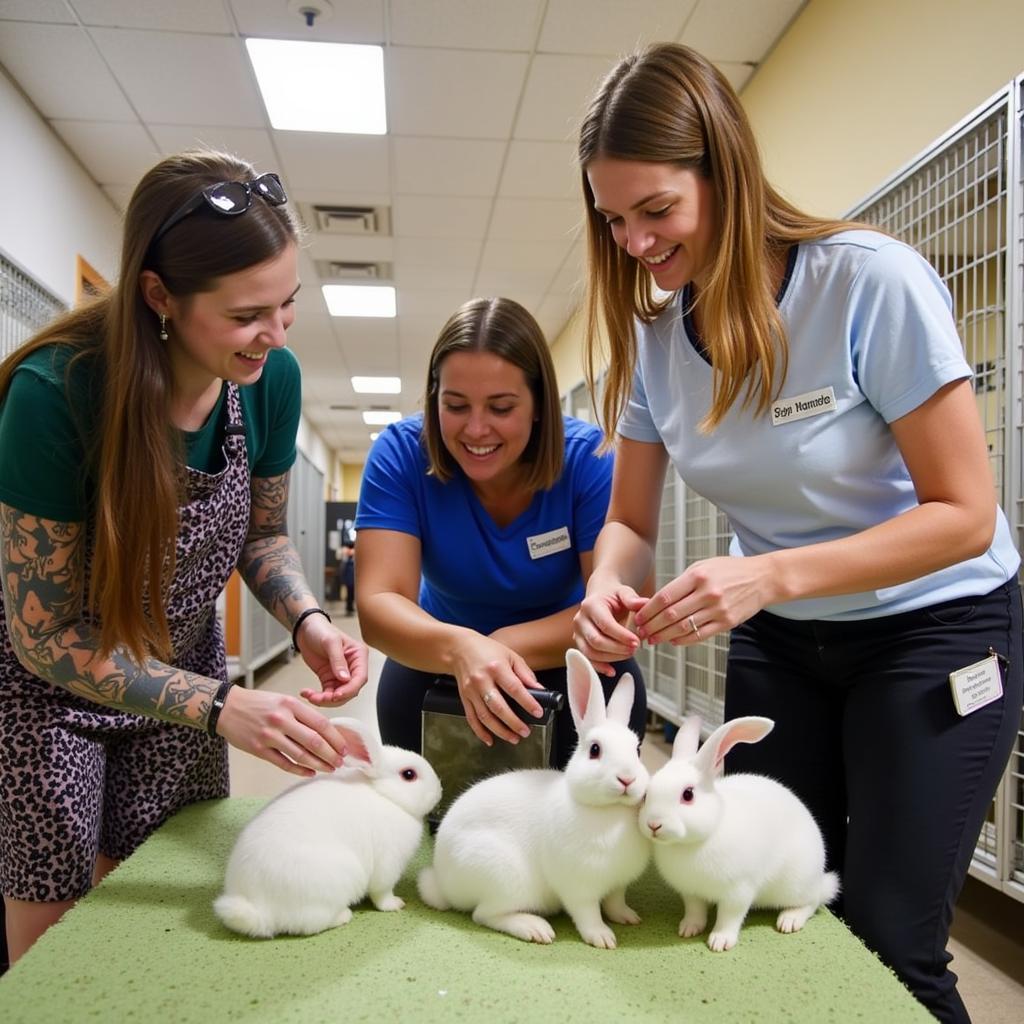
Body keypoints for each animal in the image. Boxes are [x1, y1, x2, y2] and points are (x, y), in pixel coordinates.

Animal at [214, 716, 442, 937]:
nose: (439, 790)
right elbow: (382, 893)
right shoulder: (388, 863)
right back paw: (343, 916)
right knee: (310, 924)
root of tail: (260, 910)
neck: (386, 796)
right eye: (409, 774)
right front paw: (396, 904)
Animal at [417, 651, 651, 946]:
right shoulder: (578, 888)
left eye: (637, 749)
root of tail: (444, 884)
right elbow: (588, 914)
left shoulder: (618, 884)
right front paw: (602, 938)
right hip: (505, 879)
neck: (609, 812)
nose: (627, 779)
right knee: (484, 915)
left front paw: (628, 918)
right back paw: (535, 929)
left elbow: (615, 903)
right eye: (595, 750)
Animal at [638, 712, 839, 950]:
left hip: (796, 884)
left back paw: (789, 921)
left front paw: (720, 942)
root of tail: (819, 879)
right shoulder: (691, 892)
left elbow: (729, 917)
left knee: (812, 902)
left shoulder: (738, 891)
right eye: (646, 794)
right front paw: (688, 929)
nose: (653, 824)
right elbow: (695, 911)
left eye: (688, 795)